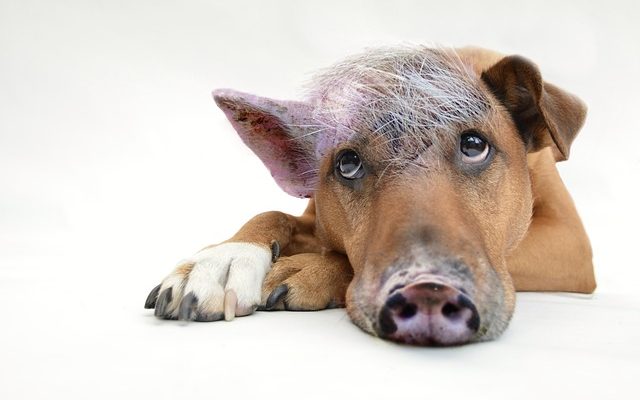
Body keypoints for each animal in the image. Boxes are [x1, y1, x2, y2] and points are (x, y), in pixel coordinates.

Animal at [144, 46, 596, 346]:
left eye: (473, 145)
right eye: (347, 164)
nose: (428, 292)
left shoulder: (569, 242)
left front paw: (310, 269)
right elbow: (272, 213)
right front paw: (222, 260)